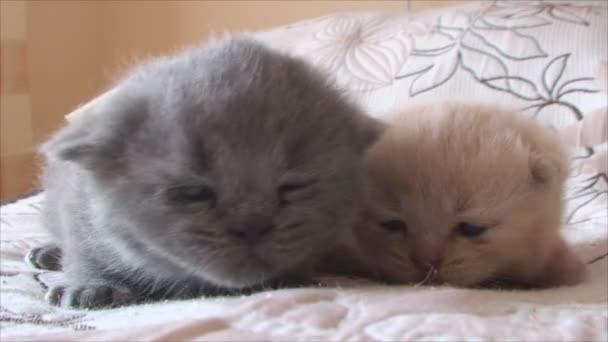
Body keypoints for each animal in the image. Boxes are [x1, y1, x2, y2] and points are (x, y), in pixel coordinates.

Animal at [28, 36, 382, 310]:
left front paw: (290, 277)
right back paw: (47, 253)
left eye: (293, 186)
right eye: (192, 193)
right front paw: (91, 284)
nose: (253, 226)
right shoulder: (77, 205)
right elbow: (84, 248)